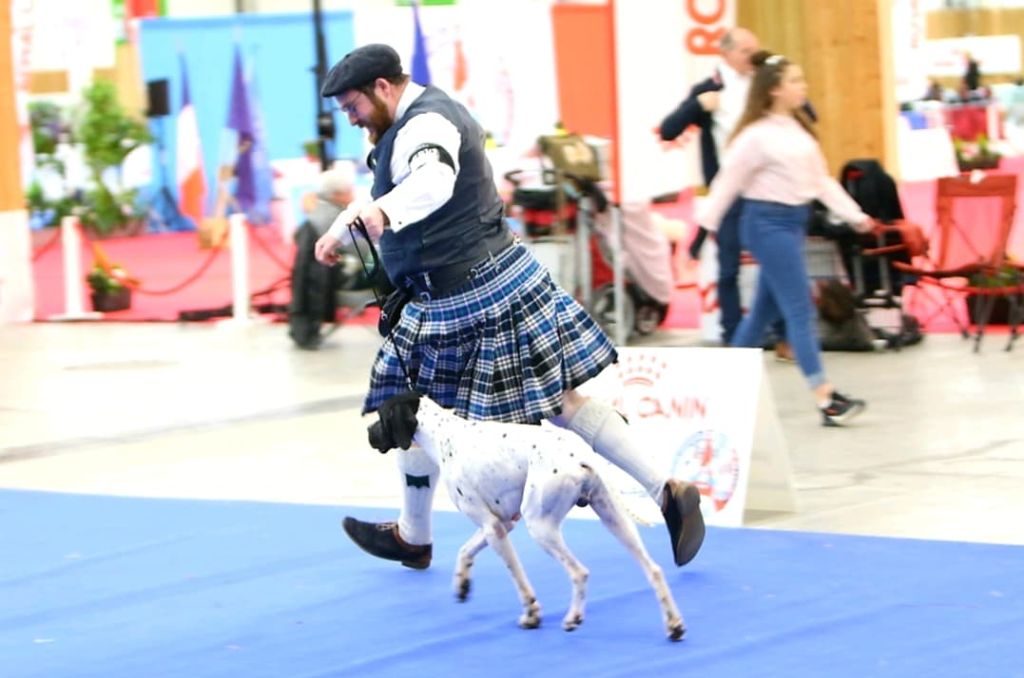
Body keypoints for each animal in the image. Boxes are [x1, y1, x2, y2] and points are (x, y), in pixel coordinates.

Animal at [368, 391, 688, 639]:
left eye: (381, 416)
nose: (369, 434)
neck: (444, 435)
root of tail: (582, 458)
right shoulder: (500, 523)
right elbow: (465, 550)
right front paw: (462, 585)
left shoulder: (493, 528)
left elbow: (519, 579)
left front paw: (531, 613)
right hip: (615, 521)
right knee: (654, 571)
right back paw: (673, 624)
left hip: (541, 527)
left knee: (579, 573)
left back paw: (573, 618)